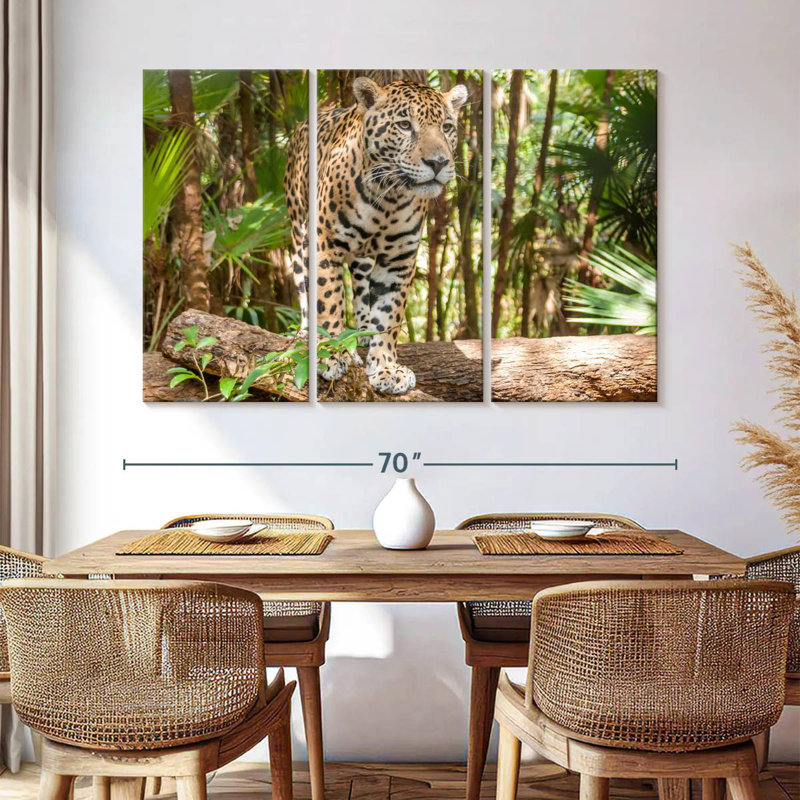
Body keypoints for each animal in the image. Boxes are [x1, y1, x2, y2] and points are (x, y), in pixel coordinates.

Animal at [284, 77, 468, 395]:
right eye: (405, 125)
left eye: (446, 127)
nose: (438, 163)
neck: (389, 199)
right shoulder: (324, 244)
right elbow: (328, 299)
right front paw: (330, 355)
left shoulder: (399, 259)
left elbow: (388, 313)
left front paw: (386, 367)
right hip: (298, 235)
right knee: (305, 290)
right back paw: (306, 334)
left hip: (363, 258)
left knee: (360, 288)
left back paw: (363, 332)